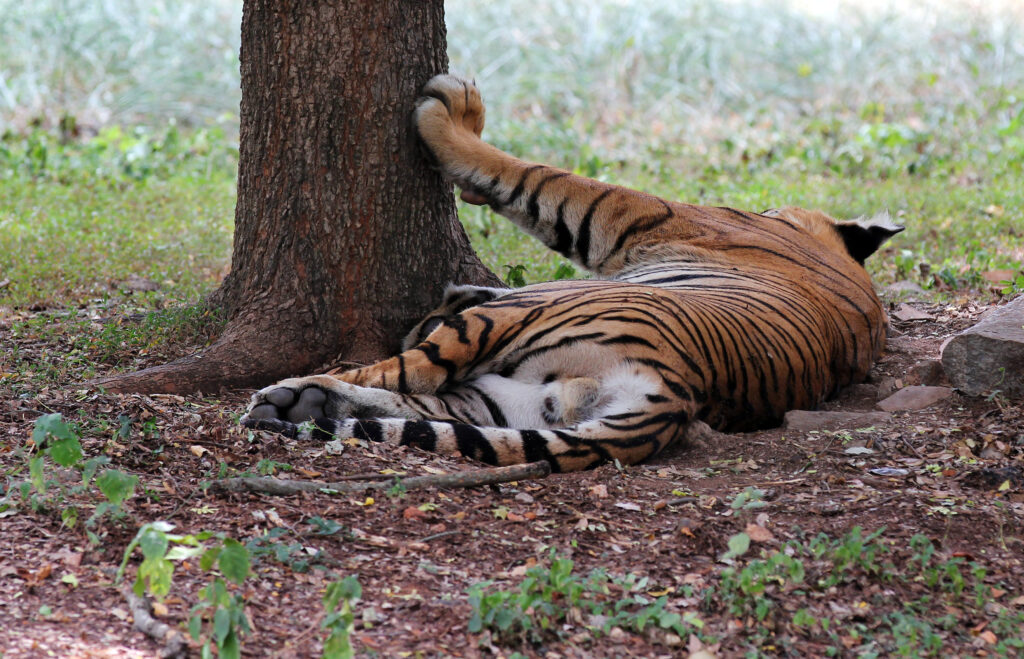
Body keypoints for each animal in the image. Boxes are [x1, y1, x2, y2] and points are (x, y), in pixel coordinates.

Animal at [241, 74, 902, 473]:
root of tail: (677, 392)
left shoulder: (643, 217)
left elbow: (540, 179)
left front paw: (453, 115)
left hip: (514, 322)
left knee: (404, 372)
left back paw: (290, 393)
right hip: (511, 403)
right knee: (422, 403)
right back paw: (300, 404)